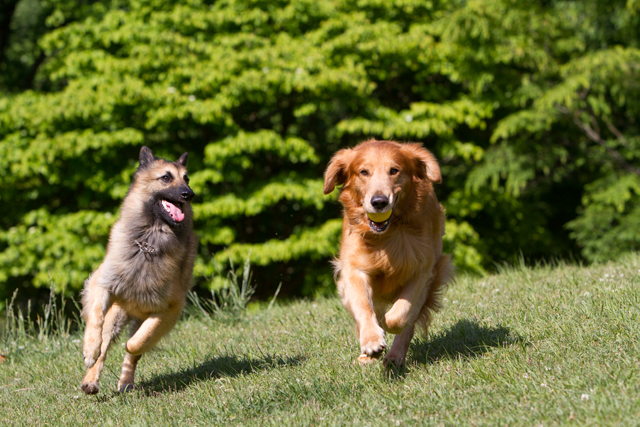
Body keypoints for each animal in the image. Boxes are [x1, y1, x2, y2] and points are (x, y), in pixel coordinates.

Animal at [82, 147, 198, 394]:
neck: (148, 241)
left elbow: (136, 342)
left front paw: (130, 349)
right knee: (104, 344)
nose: (189, 194)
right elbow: (95, 322)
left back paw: (126, 381)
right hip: (115, 315)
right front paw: (90, 350)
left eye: (186, 179)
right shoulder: (102, 283)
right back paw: (91, 380)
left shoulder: (169, 310)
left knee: (133, 349)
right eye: (166, 178)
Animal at [322, 140, 452, 368]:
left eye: (394, 170)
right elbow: (364, 307)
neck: (386, 235)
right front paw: (372, 341)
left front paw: (387, 328)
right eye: (363, 172)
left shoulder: (422, 271)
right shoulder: (353, 270)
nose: (379, 202)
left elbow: (400, 315)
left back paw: (394, 356)